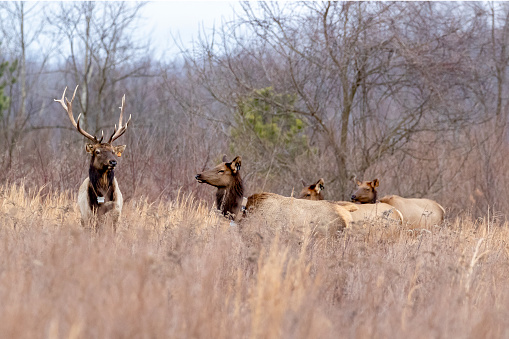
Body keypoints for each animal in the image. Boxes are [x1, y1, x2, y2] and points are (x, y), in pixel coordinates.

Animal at [54, 86, 131, 228]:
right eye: (97, 151)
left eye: (113, 151)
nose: (113, 162)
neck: (102, 197)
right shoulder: (89, 216)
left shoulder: (115, 216)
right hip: (83, 218)